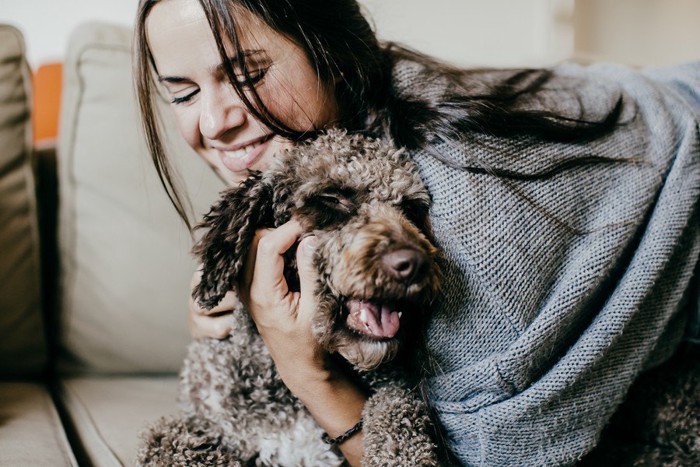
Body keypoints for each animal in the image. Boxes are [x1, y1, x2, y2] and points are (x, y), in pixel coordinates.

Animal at [137, 130, 442, 466]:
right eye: (330, 198)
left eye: (410, 209)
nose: (415, 264)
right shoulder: (185, 429)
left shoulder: (395, 389)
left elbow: (396, 412)